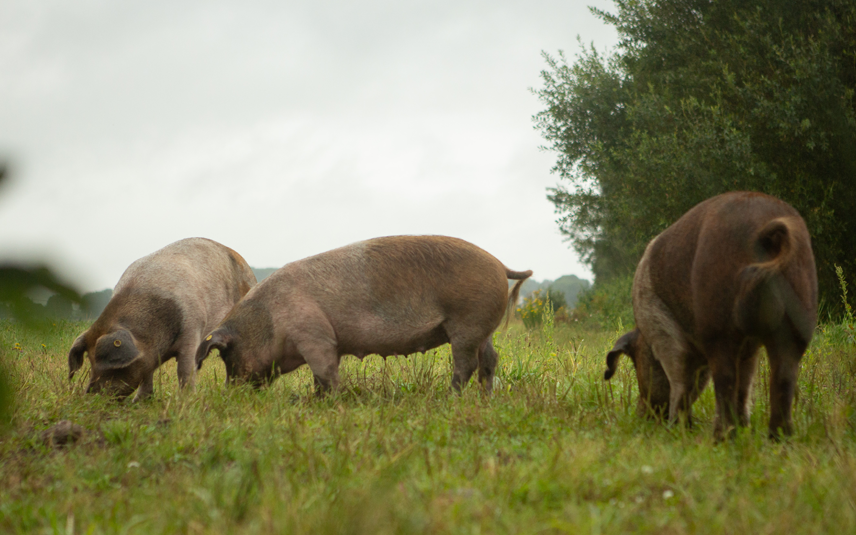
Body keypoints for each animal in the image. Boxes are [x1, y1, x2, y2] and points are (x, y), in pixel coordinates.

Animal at [67, 239, 256, 402]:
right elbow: (147, 375)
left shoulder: (192, 330)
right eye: (90, 361)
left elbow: (185, 370)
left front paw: (186, 400)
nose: (89, 396)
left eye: (113, 366)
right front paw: (139, 402)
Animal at [196, 237, 532, 396]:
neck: (268, 319)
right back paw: (485, 399)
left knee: (466, 364)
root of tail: (501, 265)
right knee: (490, 360)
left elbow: (325, 372)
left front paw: (329, 401)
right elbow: (322, 375)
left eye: (227, 357)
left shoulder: (314, 335)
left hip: (467, 322)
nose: (230, 393)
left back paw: (452, 398)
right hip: (483, 328)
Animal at [600, 193, 816, 440]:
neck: (644, 335)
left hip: (717, 323)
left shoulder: (662, 332)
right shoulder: (749, 350)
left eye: (637, 364)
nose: (641, 416)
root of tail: (767, 229)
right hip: (799, 316)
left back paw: (720, 437)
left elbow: (680, 380)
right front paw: (744, 427)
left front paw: (677, 429)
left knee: (724, 380)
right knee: (783, 378)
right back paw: (778, 439)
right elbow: (745, 385)